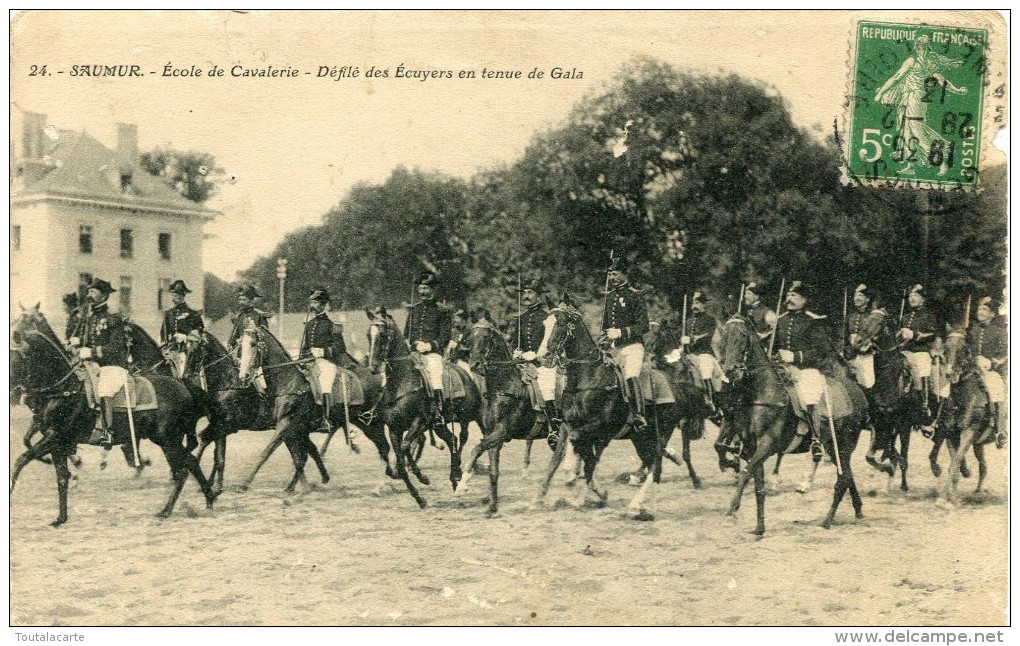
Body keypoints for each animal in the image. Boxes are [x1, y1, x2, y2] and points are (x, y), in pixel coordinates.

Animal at [7, 306, 216, 522]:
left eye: (14, 359)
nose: (13, 394)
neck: (64, 388)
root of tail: (183, 386)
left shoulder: (54, 436)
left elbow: (21, 460)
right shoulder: (58, 441)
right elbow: (60, 476)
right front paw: (61, 518)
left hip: (168, 439)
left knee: (182, 471)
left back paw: (166, 509)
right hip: (167, 439)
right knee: (190, 462)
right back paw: (208, 498)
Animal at [363, 304, 485, 506]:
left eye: (382, 334)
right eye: (368, 335)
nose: (373, 367)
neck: (402, 383)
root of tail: (464, 372)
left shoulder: (420, 421)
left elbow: (406, 446)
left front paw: (422, 477)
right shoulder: (394, 429)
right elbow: (401, 458)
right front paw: (418, 498)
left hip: (468, 416)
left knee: (464, 437)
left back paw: (458, 474)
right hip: (439, 424)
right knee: (452, 439)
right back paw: (454, 477)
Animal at [530, 304, 689, 522]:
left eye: (561, 323)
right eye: (545, 324)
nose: (542, 357)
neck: (587, 378)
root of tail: (676, 387)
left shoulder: (599, 427)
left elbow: (582, 452)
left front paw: (575, 483)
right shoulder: (569, 425)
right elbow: (568, 458)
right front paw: (542, 498)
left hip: (660, 432)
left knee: (656, 463)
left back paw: (637, 504)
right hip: (640, 438)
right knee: (652, 464)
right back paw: (644, 505)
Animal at [714, 314, 864, 534]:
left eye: (742, 336)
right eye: (722, 338)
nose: (731, 371)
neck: (761, 392)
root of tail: (858, 391)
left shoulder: (767, 444)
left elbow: (745, 473)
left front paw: (733, 509)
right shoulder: (751, 447)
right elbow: (757, 485)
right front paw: (759, 528)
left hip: (844, 445)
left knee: (843, 478)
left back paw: (827, 520)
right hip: (832, 446)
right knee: (848, 475)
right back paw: (858, 510)